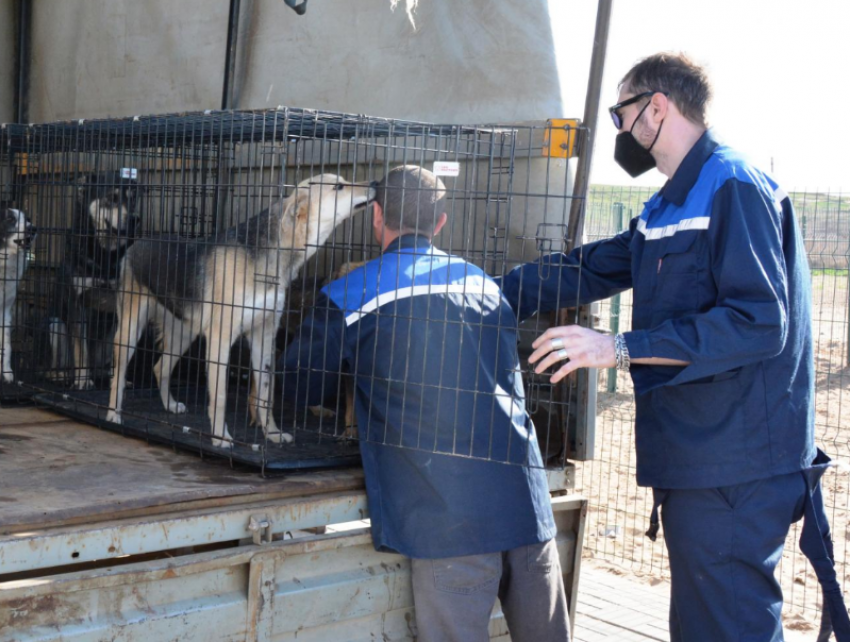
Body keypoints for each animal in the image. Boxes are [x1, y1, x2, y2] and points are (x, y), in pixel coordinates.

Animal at [53, 170, 140, 388]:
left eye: (133, 199)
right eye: (112, 198)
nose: (135, 219)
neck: (104, 254)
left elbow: (121, 348)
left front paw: (119, 381)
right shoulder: (76, 304)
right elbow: (80, 348)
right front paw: (83, 381)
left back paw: (104, 374)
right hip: (55, 325)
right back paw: (63, 375)